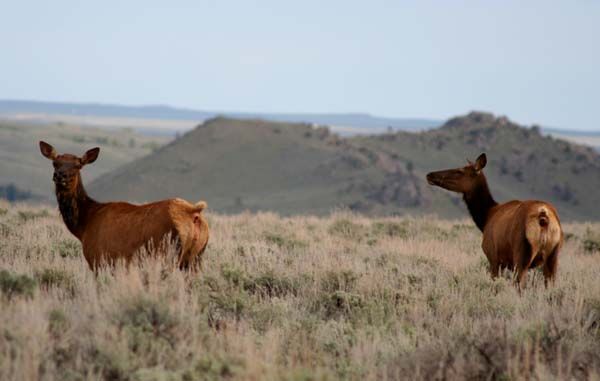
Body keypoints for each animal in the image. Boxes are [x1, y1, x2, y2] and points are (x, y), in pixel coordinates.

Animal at [39, 140, 209, 270]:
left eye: (78, 165)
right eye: (55, 163)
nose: (60, 175)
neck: (84, 226)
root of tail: (193, 211)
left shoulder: (98, 259)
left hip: (168, 253)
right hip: (195, 258)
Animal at [426, 153, 564, 290]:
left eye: (460, 171)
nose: (429, 175)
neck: (486, 217)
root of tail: (543, 215)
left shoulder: (493, 257)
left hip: (522, 253)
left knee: (520, 285)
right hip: (553, 256)